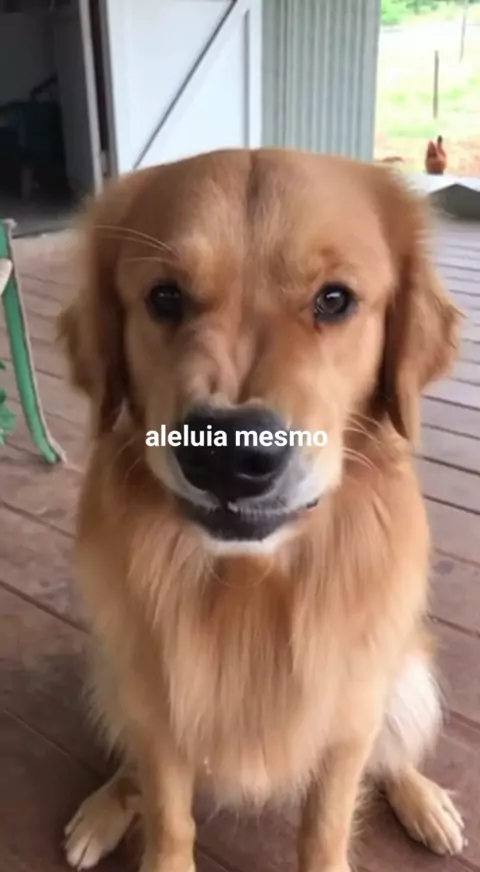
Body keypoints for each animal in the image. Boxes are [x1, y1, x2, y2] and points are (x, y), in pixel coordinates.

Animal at [59, 149, 464, 872]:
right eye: (165, 297)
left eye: (335, 299)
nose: (228, 457)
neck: (251, 586)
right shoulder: (159, 714)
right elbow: (168, 819)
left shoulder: (348, 719)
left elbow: (325, 825)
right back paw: (107, 806)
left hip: (405, 676)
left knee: (393, 754)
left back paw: (425, 802)